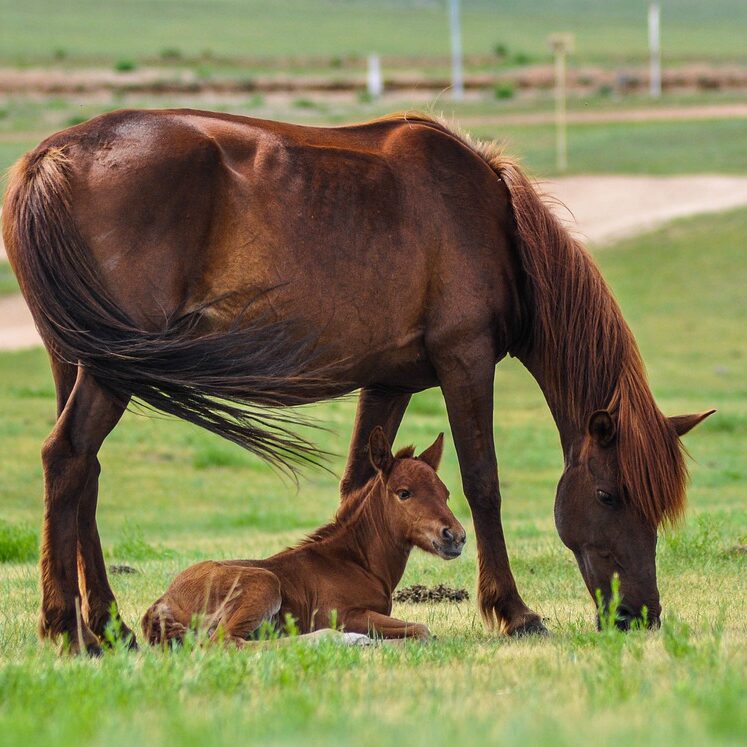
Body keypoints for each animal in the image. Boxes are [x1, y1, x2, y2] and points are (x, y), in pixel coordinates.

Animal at [1, 108, 712, 652]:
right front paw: (513, 611)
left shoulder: (389, 381)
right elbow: (484, 483)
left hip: (80, 362)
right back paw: (66, 629)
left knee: (85, 476)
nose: (641, 615)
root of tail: (50, 157)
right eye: (610, 495)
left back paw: (109, 625)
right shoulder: (465, 359)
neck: (496, 224)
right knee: (66, 458)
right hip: (108, 369)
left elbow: (357, 483)